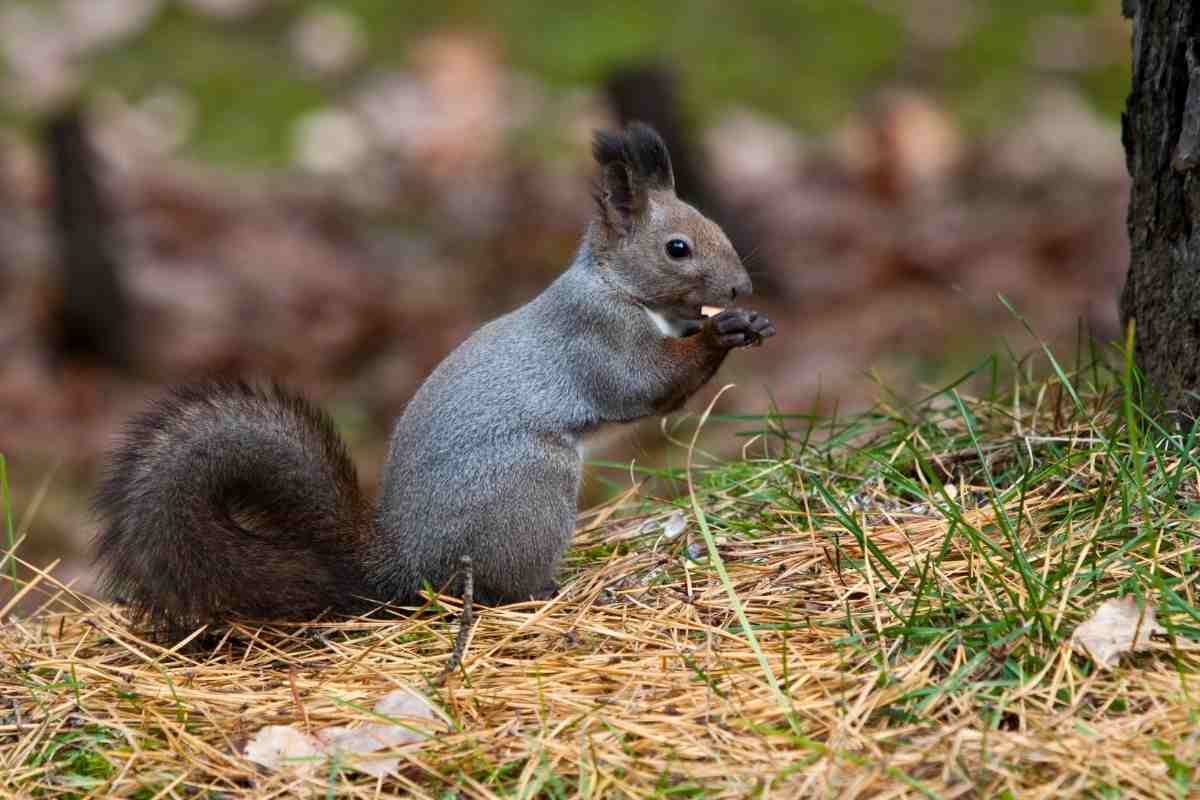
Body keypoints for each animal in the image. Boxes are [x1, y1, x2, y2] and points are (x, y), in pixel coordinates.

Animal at [93, 123, 775, 631]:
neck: (615, 286)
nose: (742, 287)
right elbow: (646, 385)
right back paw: (546, 590)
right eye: (678, 248)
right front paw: (722, 331)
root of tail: (401, 565)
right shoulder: (597, 339)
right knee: (502, 584)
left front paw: (748, 323)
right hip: (530, 489)